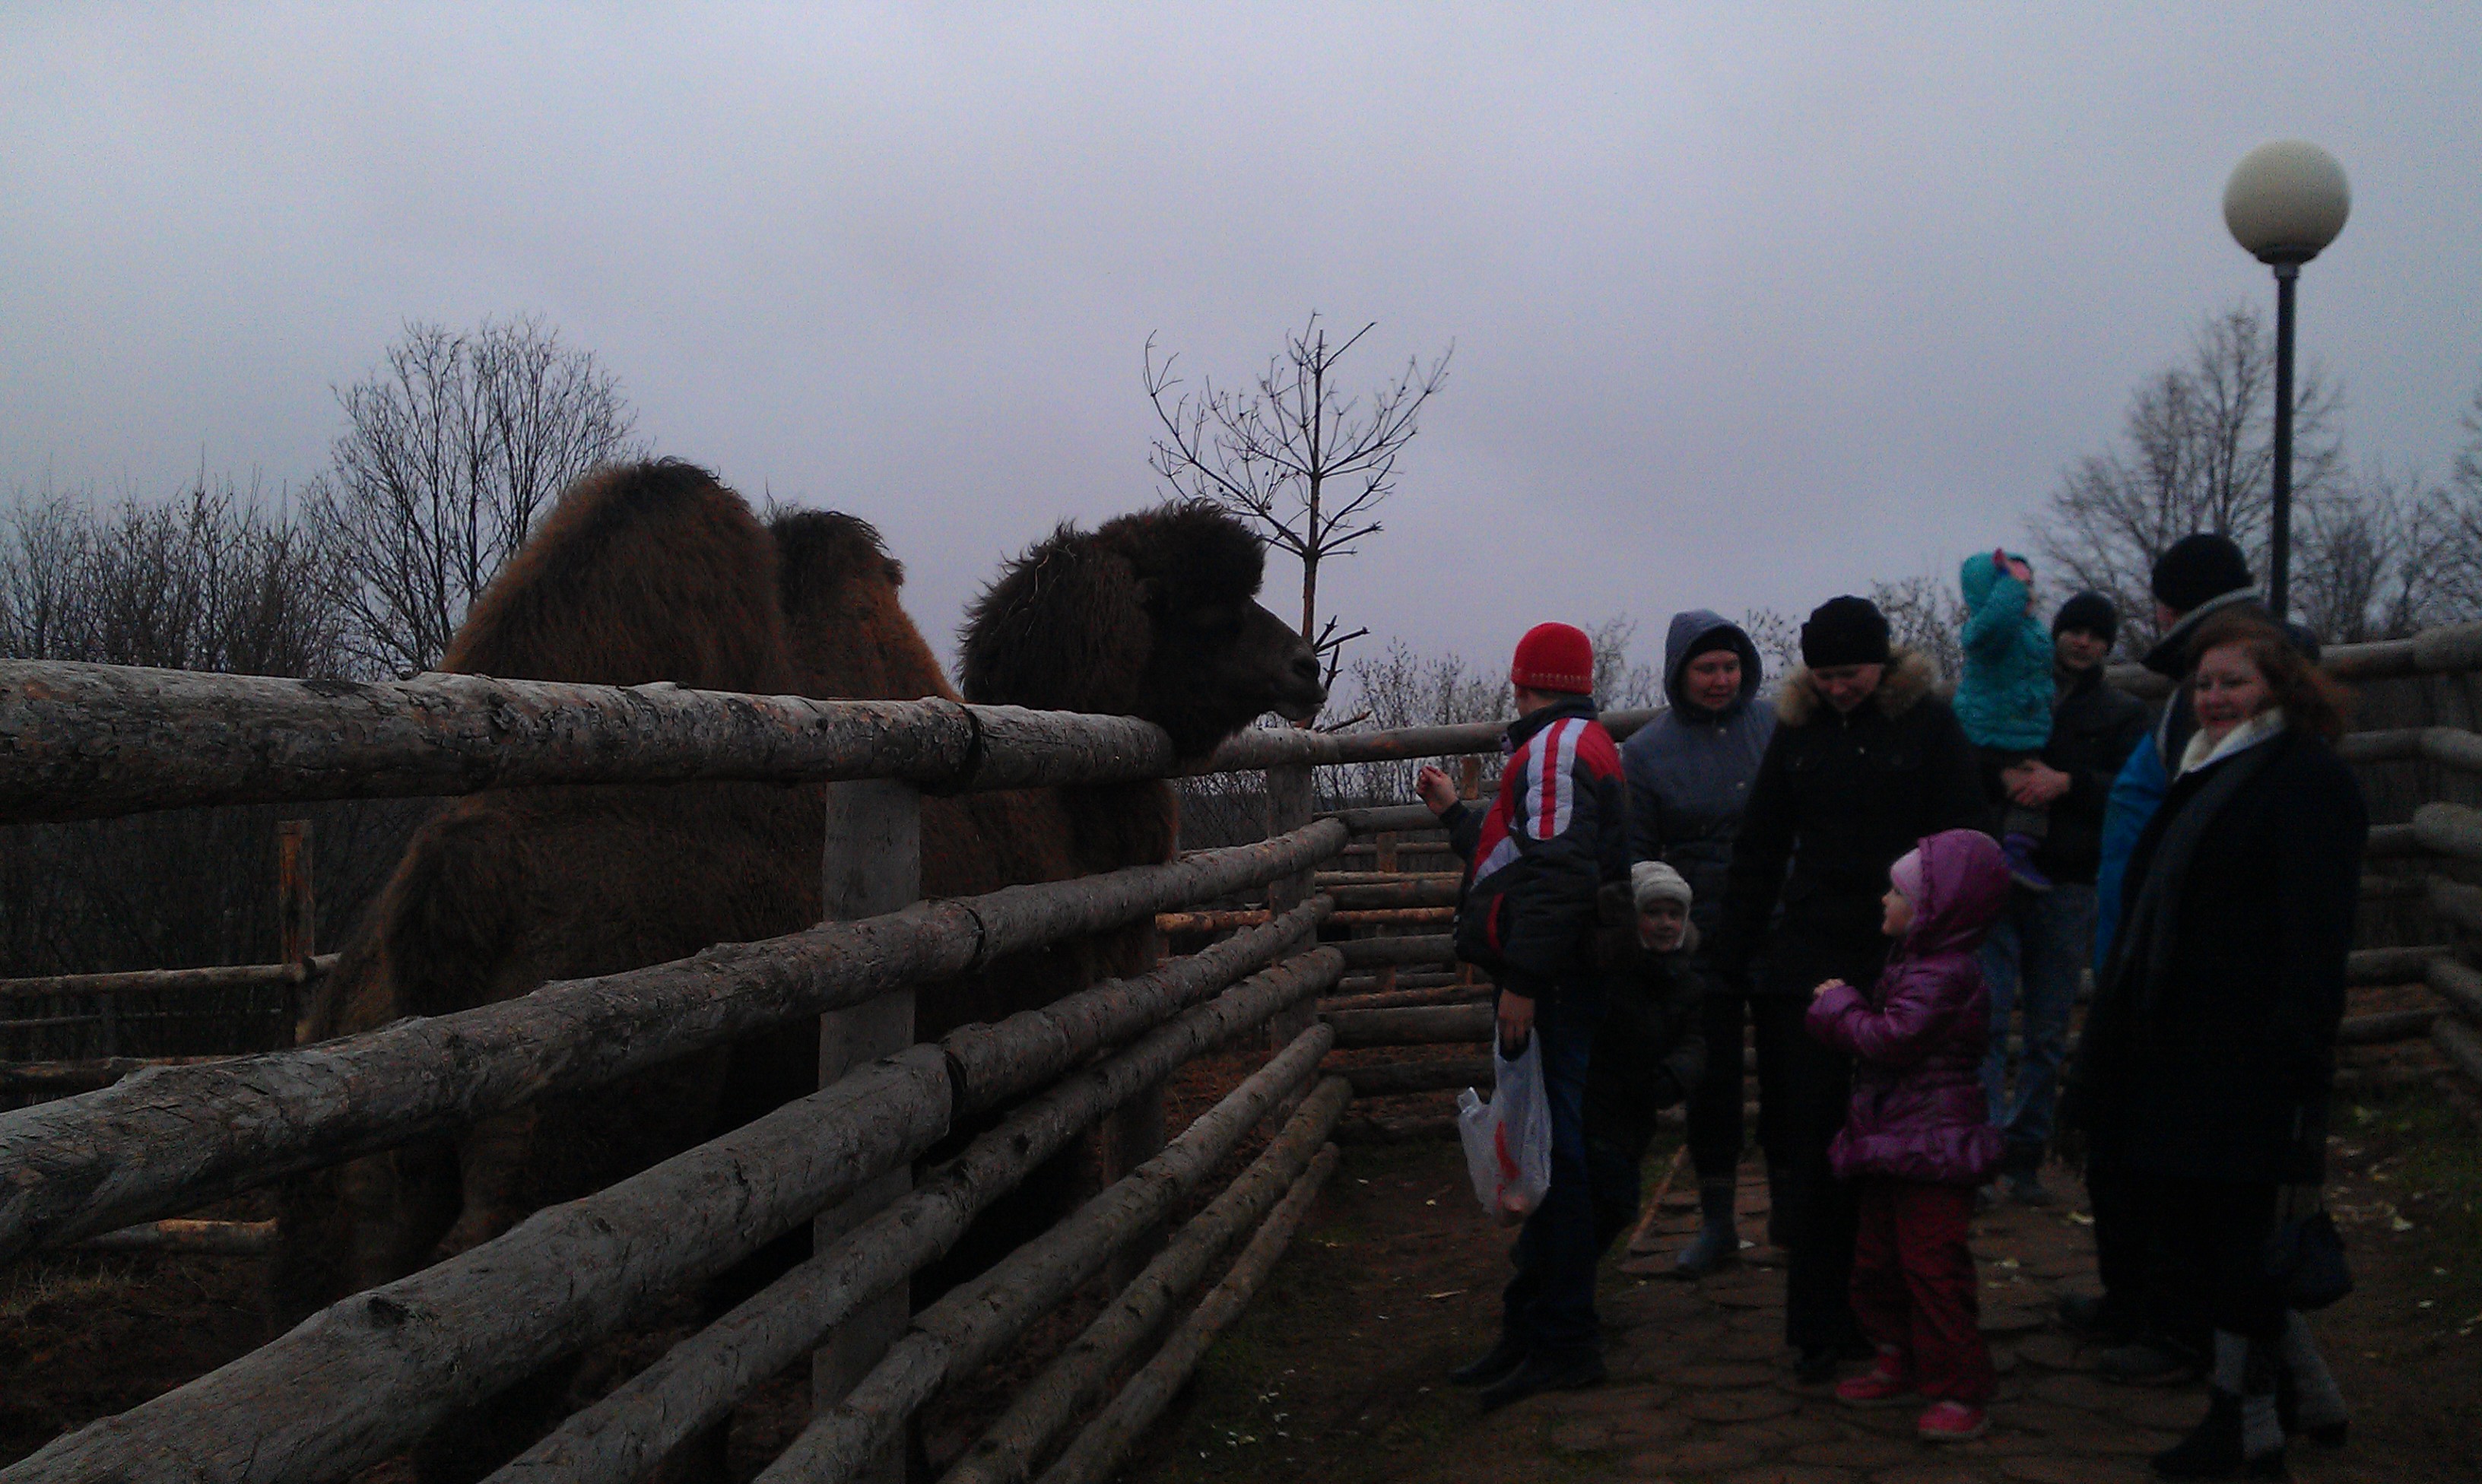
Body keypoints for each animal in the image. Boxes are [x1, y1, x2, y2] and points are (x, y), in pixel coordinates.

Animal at [273, 460, 1322, 1480]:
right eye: (1212, 611)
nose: (1306, 666)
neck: (1062, 812)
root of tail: (447, 889)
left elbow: (722, 1362)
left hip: (355, 1183)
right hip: (568, 1158)